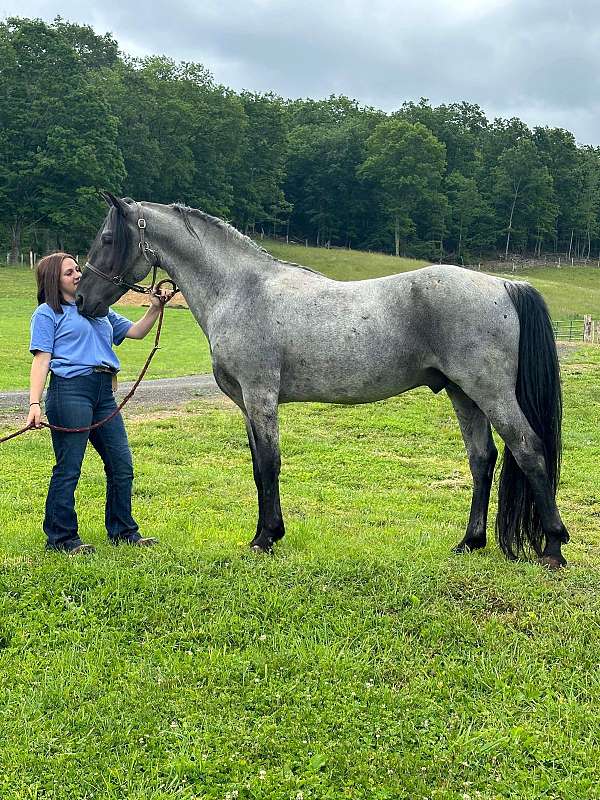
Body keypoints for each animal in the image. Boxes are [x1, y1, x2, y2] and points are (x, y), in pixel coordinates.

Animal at [75, 194, 568, 568]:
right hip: (461, 392)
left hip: (490, 392)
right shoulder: (247, 405)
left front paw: (266, 538)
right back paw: (470, 542)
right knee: (483, 459)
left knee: (528, 450)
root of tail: (502, 285)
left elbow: (268, 464)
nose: (81, 299)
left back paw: (553, 547)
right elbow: (257, 467)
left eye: (106, 238)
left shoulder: (260, 396)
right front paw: (264, 533)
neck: (240, 290)